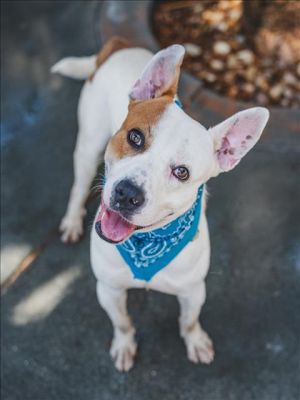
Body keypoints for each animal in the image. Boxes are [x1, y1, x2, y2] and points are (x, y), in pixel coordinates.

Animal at [51, 37, 270, 372]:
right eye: (135, 137)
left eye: (182, 172)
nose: (127, 193)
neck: (146, 244)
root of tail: (119, 45)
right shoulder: (109, 289)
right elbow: (123, 322)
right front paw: (124, 345)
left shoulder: (193, 291)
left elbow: (189, 320)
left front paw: (195, 341)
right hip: (88, 147)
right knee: (78, 187)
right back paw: (72, 220)